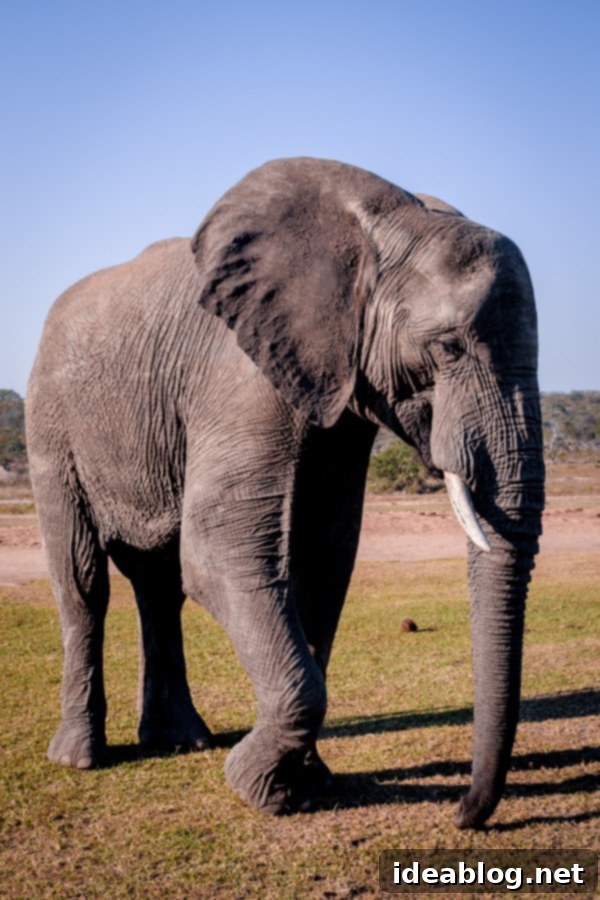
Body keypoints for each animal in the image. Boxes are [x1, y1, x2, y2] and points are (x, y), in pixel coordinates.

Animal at [26, 157, 544, 828]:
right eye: (449, 346)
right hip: (50, 423)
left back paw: (182, 741)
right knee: (83, 582)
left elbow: (325, 556)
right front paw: (260, 790)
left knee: (159, 586)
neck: (386, 224)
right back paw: (80, 758)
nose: (461, 813)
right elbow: (219, 551)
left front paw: (308, 784)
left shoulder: (340, 385)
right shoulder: (240, 376)